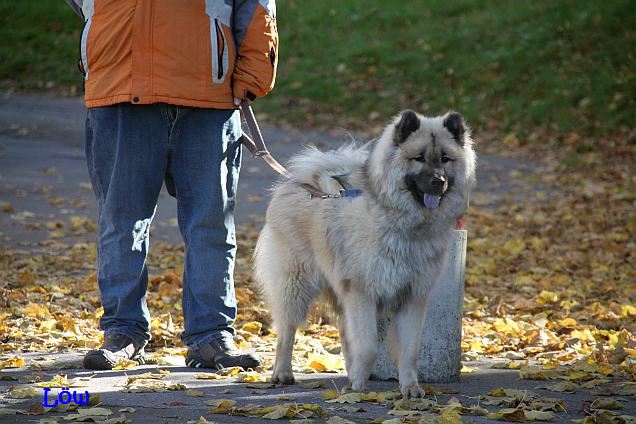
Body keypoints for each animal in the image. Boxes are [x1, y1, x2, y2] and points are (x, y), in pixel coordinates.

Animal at [253, 109, 476, 398]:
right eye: (418, 158)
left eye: (446, 159)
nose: (438, 182)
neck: (404, 224)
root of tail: (302, 181)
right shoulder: (362, 293)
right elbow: (368, 346)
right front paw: (359, 386)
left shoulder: (413, 297)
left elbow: (409, 351)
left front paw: (410, 388)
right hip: (295, 286)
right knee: (287, 332)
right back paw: (282, 373)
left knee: (343, 335)